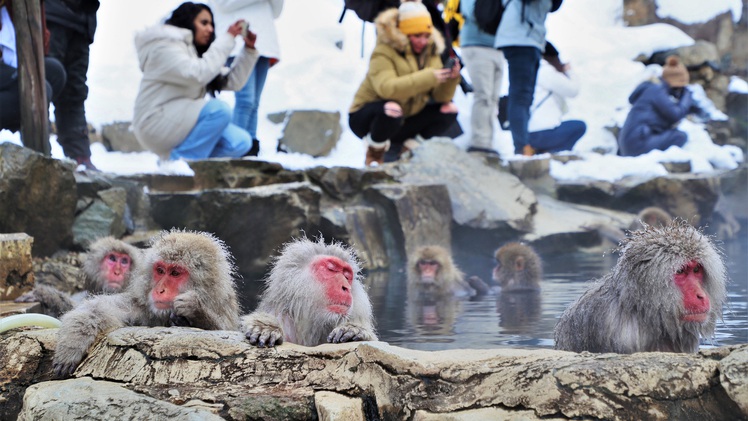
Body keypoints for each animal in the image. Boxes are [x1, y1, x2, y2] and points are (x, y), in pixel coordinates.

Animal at [53, 230, 240, 378]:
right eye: (160, 270)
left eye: (175, 273)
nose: (159, 290)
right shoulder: (141, 306)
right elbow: (97, 309)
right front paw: (71, 345)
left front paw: (196, 311)